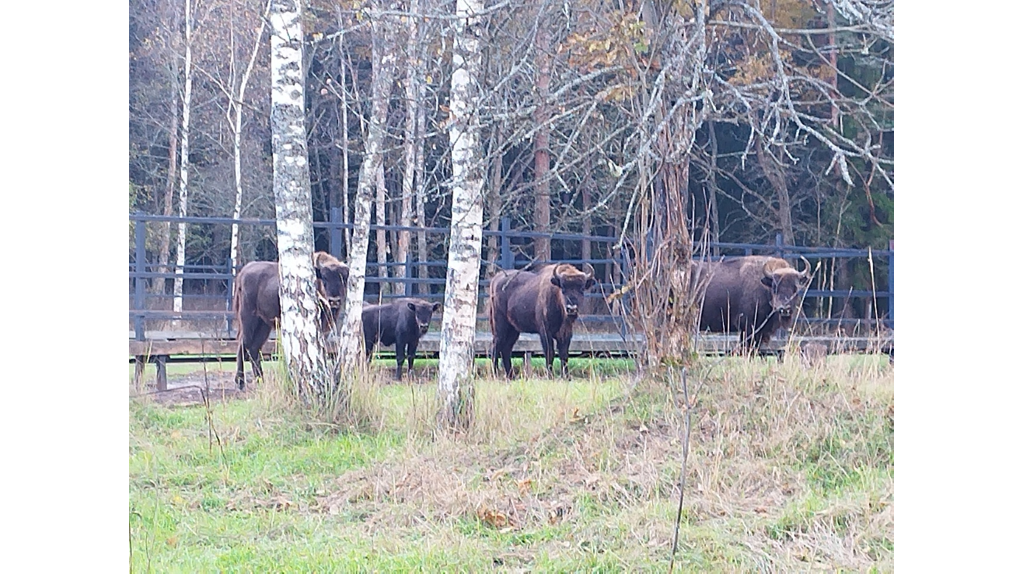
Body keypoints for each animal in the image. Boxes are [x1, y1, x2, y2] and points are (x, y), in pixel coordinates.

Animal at [234, 250, 350, 388]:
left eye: (343, 278)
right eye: (325, 277)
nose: (334, 300)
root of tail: (243, 272)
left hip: (264, 325)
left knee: (254, 348)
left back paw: (260, 380)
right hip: (249, 319)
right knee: (243, 344)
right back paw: (240, 382)